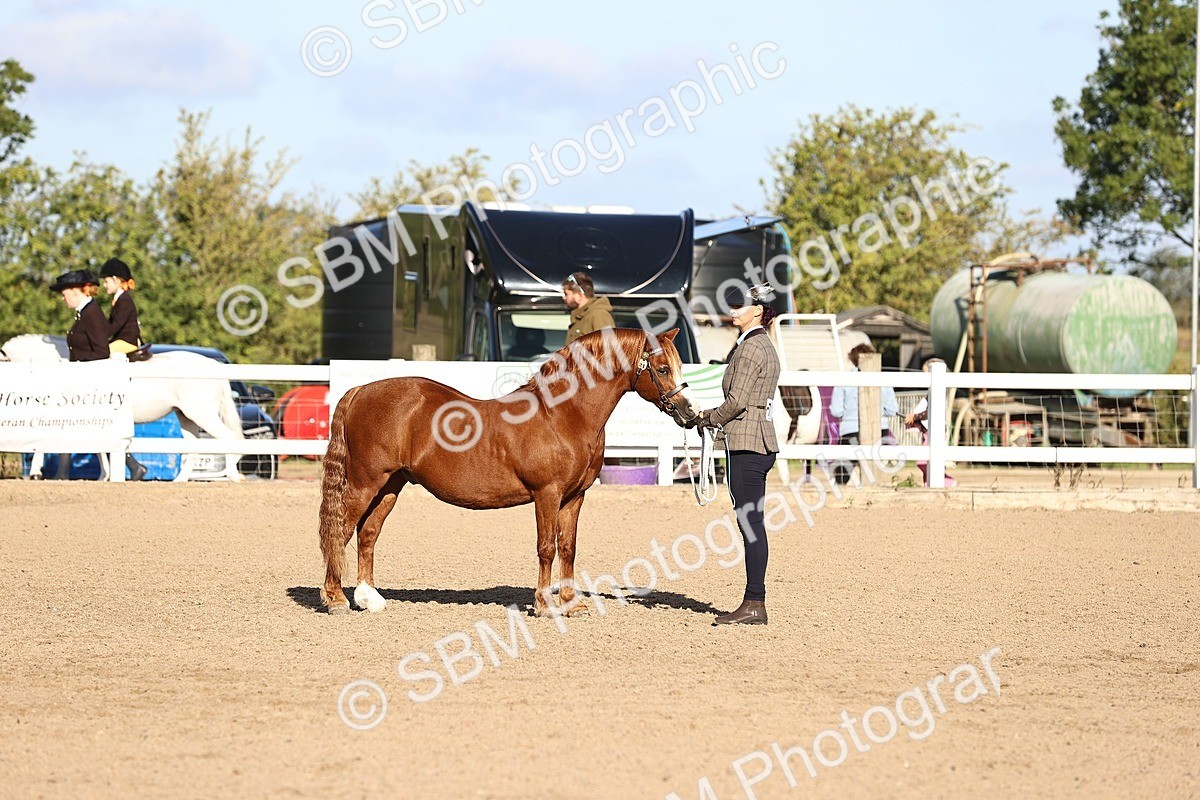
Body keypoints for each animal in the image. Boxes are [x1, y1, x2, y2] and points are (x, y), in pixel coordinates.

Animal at [0, 334, 245, 481]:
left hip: (202, 414)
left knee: (228, 437)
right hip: (186, 417)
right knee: (194, 447)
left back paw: (233, 475)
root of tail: (212, 366)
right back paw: (180, 479)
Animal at [318, 327, 700, 616]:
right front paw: (544, 605)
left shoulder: (574, 497)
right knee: (340, 530)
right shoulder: (547, 494)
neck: (561, 415)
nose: (690, 413)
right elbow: (546, 548)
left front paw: (573, 606)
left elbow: (568, 548)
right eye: (662, 368)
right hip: (365, 483)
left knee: (368, 534)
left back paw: (369, 599)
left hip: (390, 485)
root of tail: (360, 391)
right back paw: (335, 599)